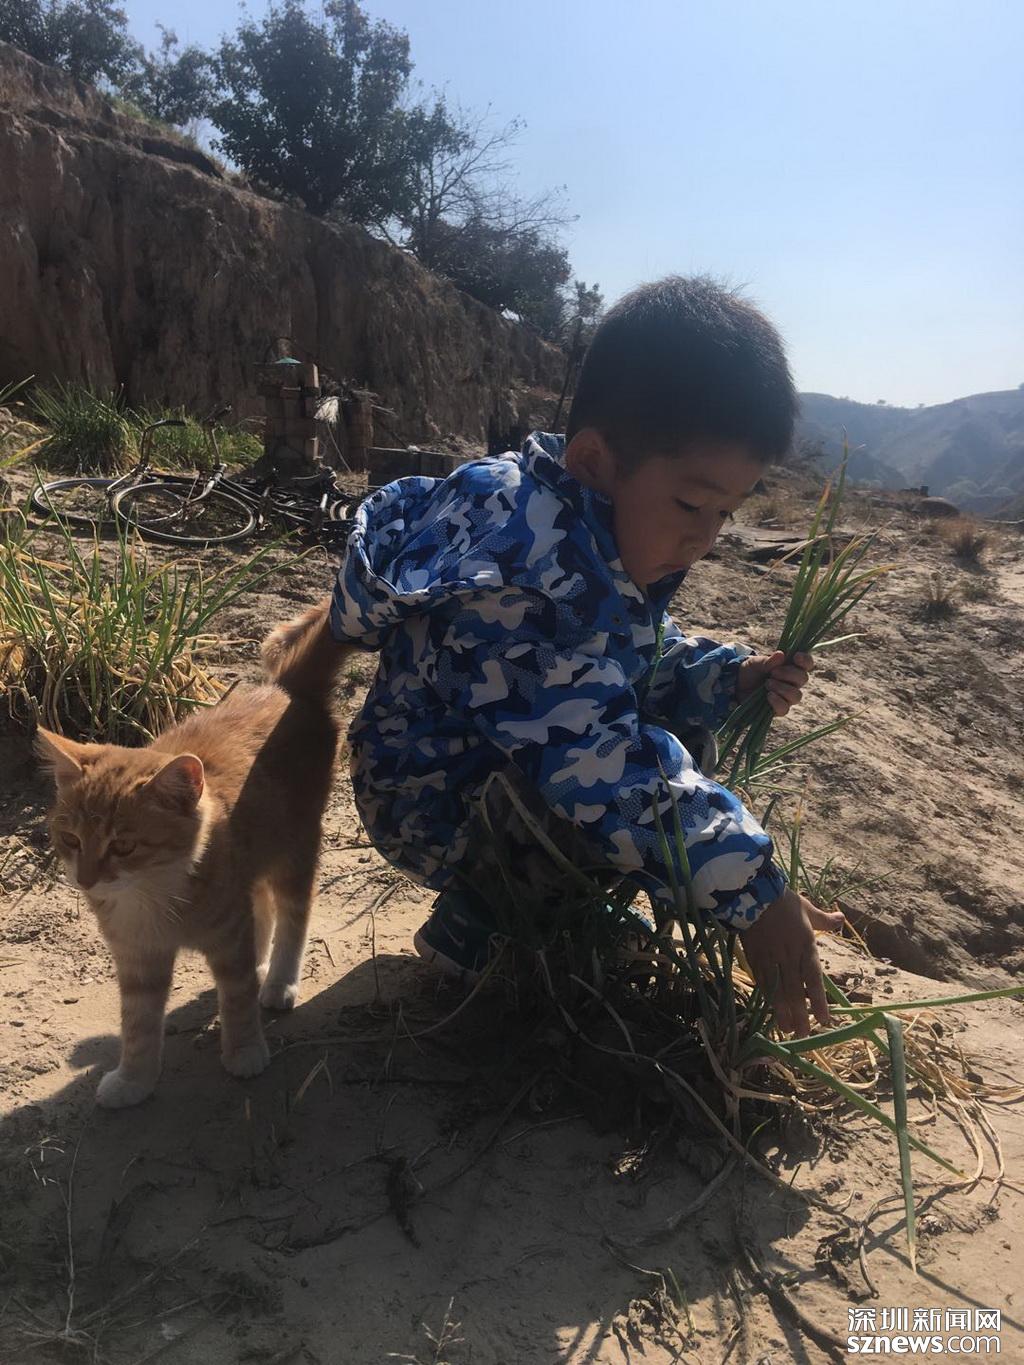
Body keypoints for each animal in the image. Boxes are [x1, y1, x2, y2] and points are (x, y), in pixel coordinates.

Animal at [36, 598, 351, 1108]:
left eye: (123, 845)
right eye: (72, 840)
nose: (85, 880)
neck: (151, 893)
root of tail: (286, 688)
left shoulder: (227, 933)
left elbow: (238, 996)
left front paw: (244, 1051)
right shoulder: (137, 956)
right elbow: (138, 1025)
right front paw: (134, 1080)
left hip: (296, 845)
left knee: (292, 911)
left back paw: (279, 980)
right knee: (261, 905)